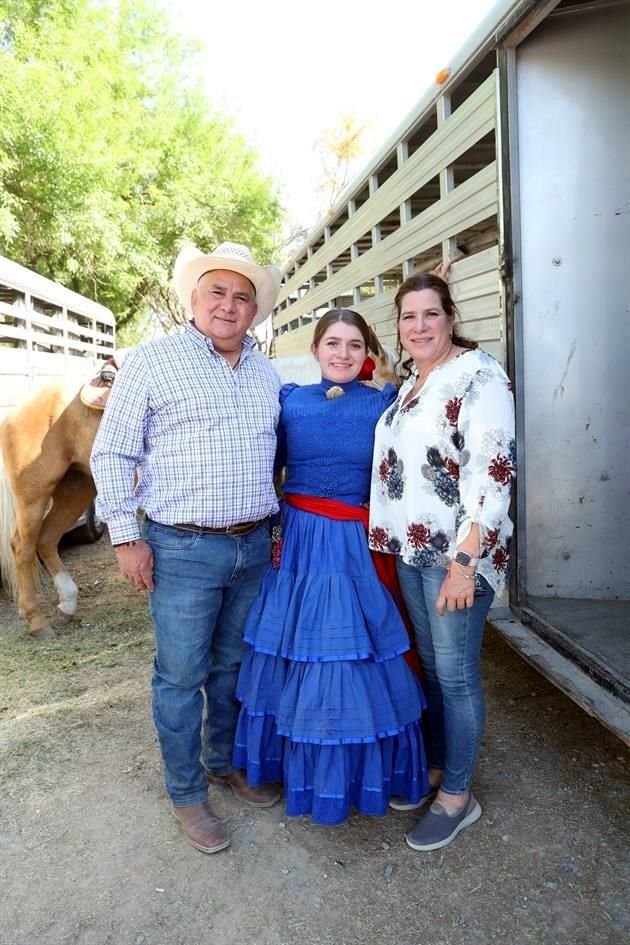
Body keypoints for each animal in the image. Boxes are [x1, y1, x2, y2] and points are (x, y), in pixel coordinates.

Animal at [0, 358, 123, 636]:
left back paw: (67, 603)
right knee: (22, 547)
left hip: (77, 489)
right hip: (34, 496)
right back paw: (36, 621)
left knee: (46, 539)